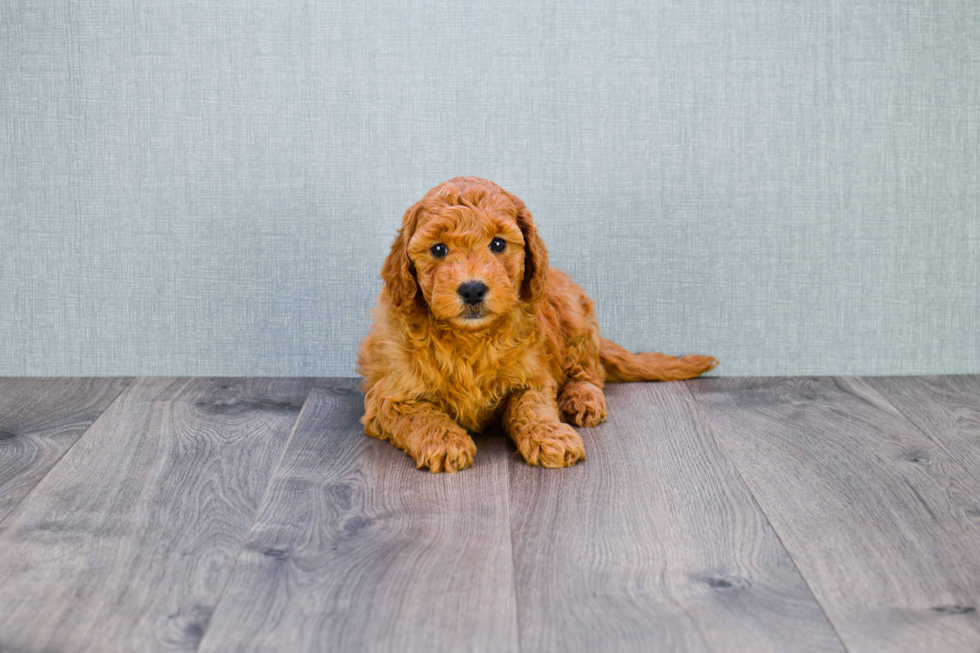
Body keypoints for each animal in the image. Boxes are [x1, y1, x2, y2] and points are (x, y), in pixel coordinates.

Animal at [356, 177, 716, 474]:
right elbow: (423, 415)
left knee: (590, 372)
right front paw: (445, 442)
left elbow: (532, 407)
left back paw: (581, 400)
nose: (472, 289)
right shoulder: (390, 397)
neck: (470, 338)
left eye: (498, 244)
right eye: (439, 249)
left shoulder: (531, 376)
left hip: (574, 320)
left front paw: (551, 437)